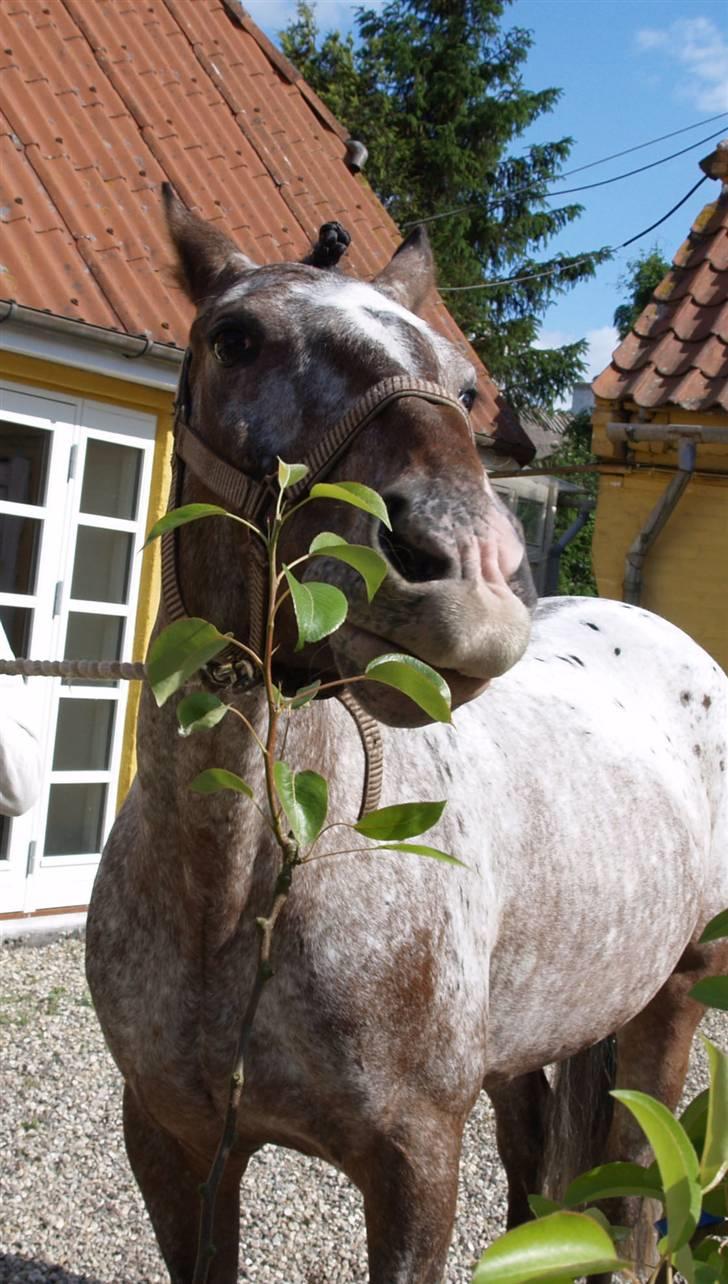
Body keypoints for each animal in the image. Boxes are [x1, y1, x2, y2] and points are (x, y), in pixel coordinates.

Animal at [86, 183, 728, 1284]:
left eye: (463, 387)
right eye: (235, 338)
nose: (467, 570)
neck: (239, 889)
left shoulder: (413, 1160)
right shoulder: (172, 1142)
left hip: (672, 1001)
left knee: (638, 1216)